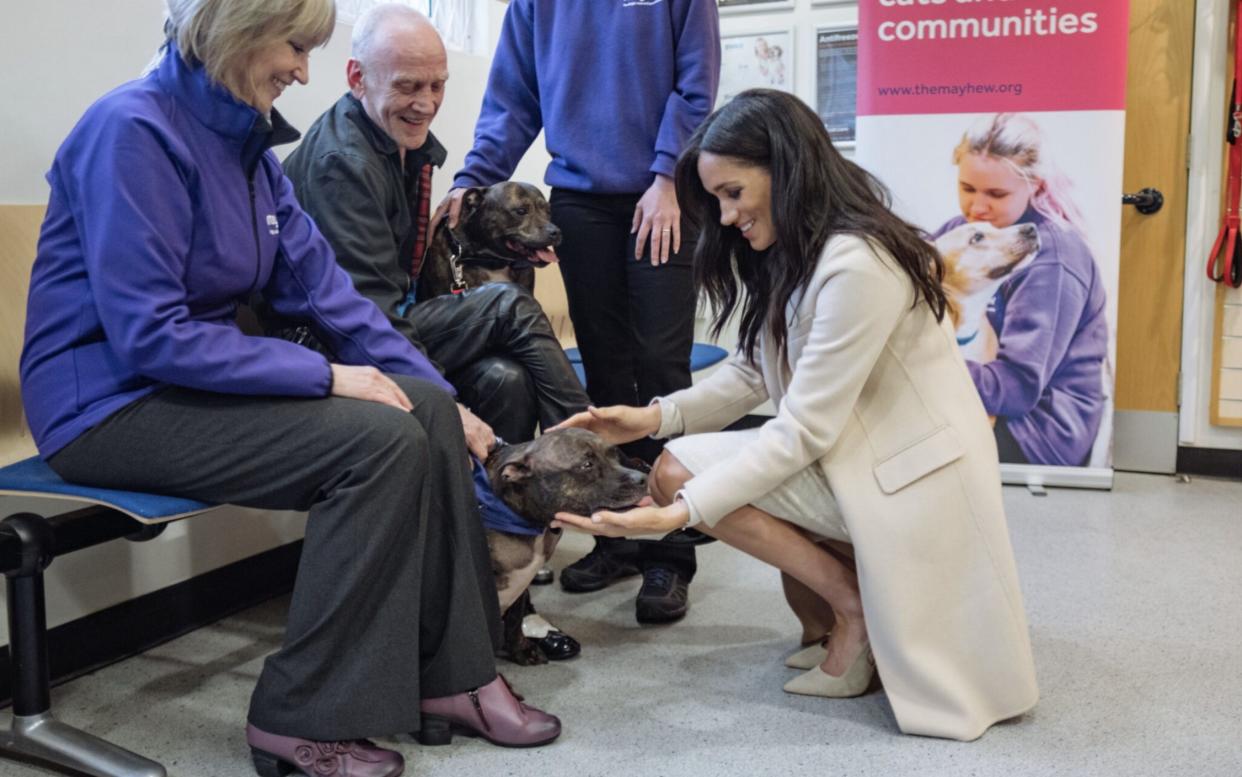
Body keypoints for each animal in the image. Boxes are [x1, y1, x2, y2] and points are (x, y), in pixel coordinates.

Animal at [481, 426, 645, 660]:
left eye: (614, 454)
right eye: (587, 465)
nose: (643, 478)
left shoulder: (522, 583)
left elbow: (515, 618)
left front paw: (521, 650)